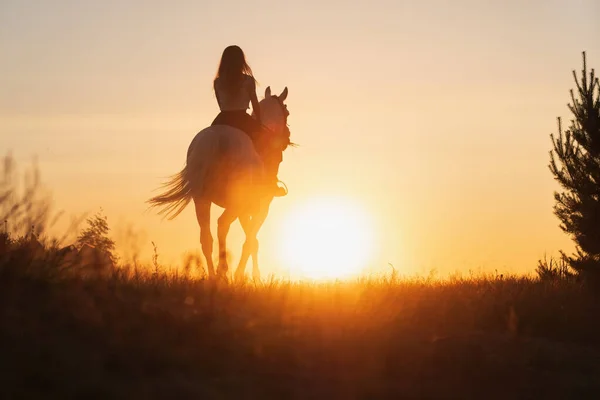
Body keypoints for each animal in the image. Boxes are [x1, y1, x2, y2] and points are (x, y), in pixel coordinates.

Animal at [148, 87, 292, 282]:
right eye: (287, 112)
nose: (287, 138)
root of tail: (217, 139)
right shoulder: (261, 208)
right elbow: (251, 240)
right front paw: (248, 276)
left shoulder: (244, 211)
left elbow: (252, 239)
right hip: (234, 202)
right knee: (222, 224)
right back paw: (223, 271)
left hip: (202, 199)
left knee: (206, 237)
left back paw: (213, 277)